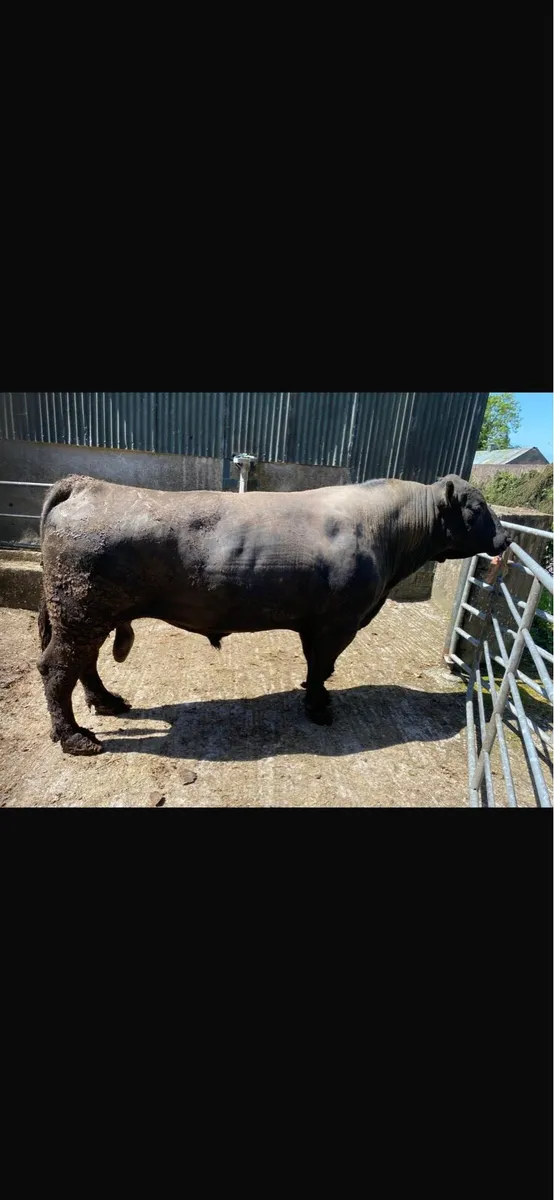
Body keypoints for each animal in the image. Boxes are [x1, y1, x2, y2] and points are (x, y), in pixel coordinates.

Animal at [37, 473, 511, 755]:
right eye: (475, 508)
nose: (506, 539)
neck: (385, 532)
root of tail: (85, 484)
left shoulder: (314, 621)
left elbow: (315, 663)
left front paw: (311, 694)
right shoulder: (339, 621)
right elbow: (323, 665)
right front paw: (319, 707)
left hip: (88, 615)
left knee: (84, 664)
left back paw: (106, 702)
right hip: (81, 611)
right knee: (57, 668)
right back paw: (76, 738)